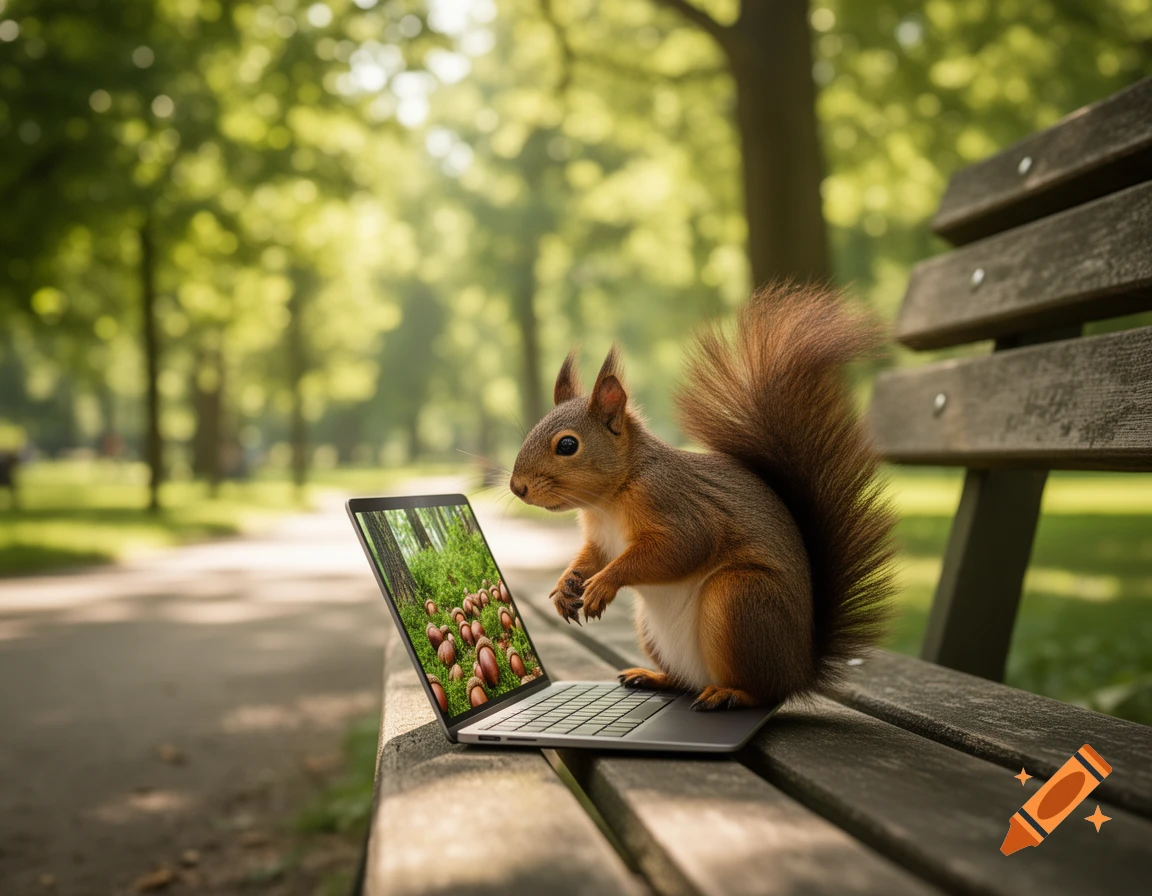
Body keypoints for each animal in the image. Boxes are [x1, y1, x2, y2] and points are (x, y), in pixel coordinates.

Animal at [509, 283, 897, 710]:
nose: (517, 487)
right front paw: (567, 584)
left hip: (740, 598)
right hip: (655, 628)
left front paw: (602, 584)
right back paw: (654, 677)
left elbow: (682, 547)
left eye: (567, 445)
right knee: (684, 681)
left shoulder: (677, 506)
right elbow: (591, 556)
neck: (609, 500)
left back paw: (732, 694)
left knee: (764, 692)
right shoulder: (600, 538)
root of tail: (800, 671)